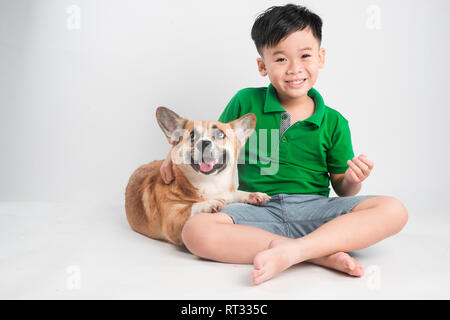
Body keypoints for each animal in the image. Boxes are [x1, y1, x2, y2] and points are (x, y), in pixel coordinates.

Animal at [124, 107, 270, 245]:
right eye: (192, 135)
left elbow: (236, 193)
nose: (204, 143)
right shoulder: (172, 219)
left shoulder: (227, 193)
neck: (209, 182)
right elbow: (191, 207)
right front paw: (209, 203)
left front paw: (254, 195)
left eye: (220, 134)